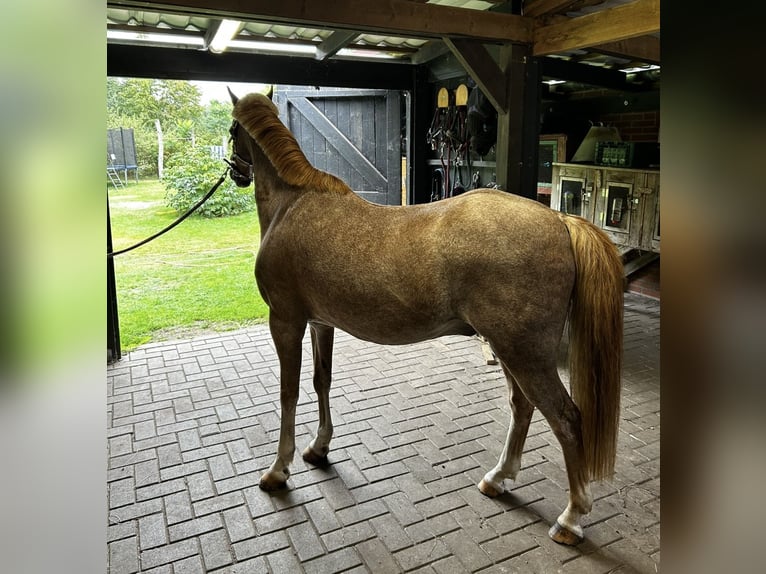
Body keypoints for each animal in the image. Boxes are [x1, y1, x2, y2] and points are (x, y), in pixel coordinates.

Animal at [226, 89, 624, 546]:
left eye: (233, 129)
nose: (235, 171)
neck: (292, 205)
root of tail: (559, 219)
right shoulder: (319, 322)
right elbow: (320, 381)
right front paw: (318, 448)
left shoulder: (285, 321)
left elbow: (288, 394)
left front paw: (278, 470)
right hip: (510, 348)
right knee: (522, 407)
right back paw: (498, 478)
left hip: (526, 354)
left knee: (566, 419)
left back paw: (571, 518)